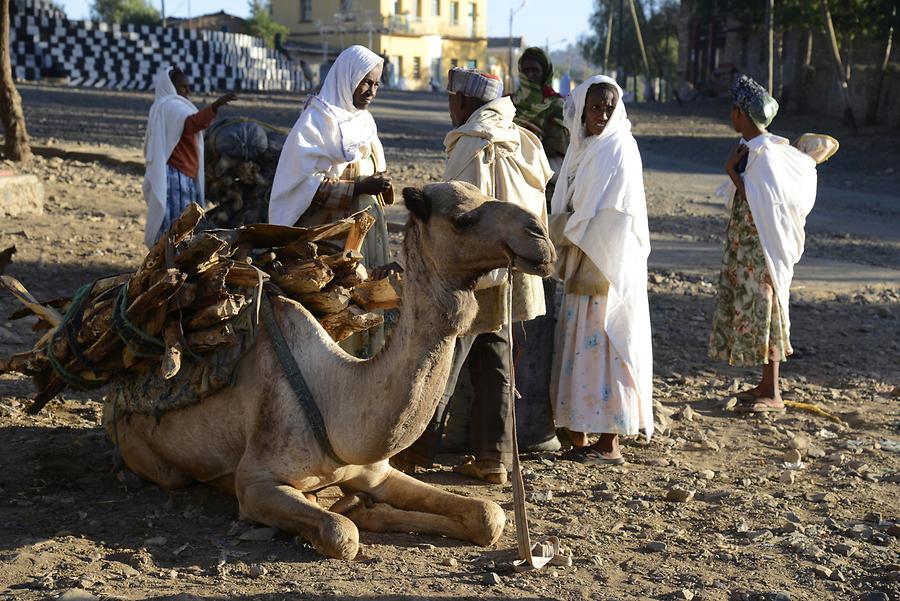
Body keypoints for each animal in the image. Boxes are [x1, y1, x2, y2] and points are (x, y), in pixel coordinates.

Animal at [103, 180, 556, 560]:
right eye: (463, 219)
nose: (540, 237)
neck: (336, 397)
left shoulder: (375, 471)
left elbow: (489, 515)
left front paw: (366, 508)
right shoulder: (255, 482)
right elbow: (342, 533)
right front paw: (350, 512)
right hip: (151, 458)